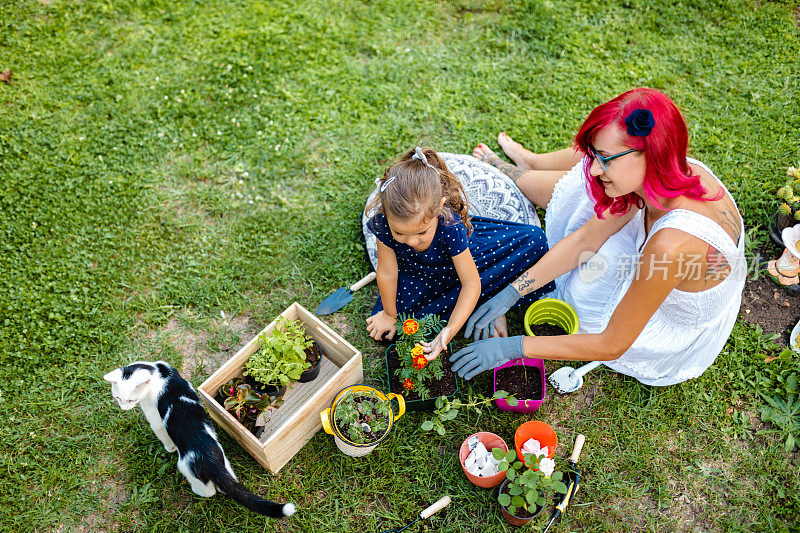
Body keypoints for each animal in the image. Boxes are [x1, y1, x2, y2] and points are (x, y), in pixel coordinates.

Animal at [103, 360, 296, 516]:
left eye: (131, 400)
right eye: (117, 397)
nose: (123, 408)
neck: (158, 372)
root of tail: (209, 459)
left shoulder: (154, 416)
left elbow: (161, 432)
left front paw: (169, 448)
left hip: (186, 468)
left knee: (209, 492)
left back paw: (195, 491)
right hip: (224, 461)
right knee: (228, 483)